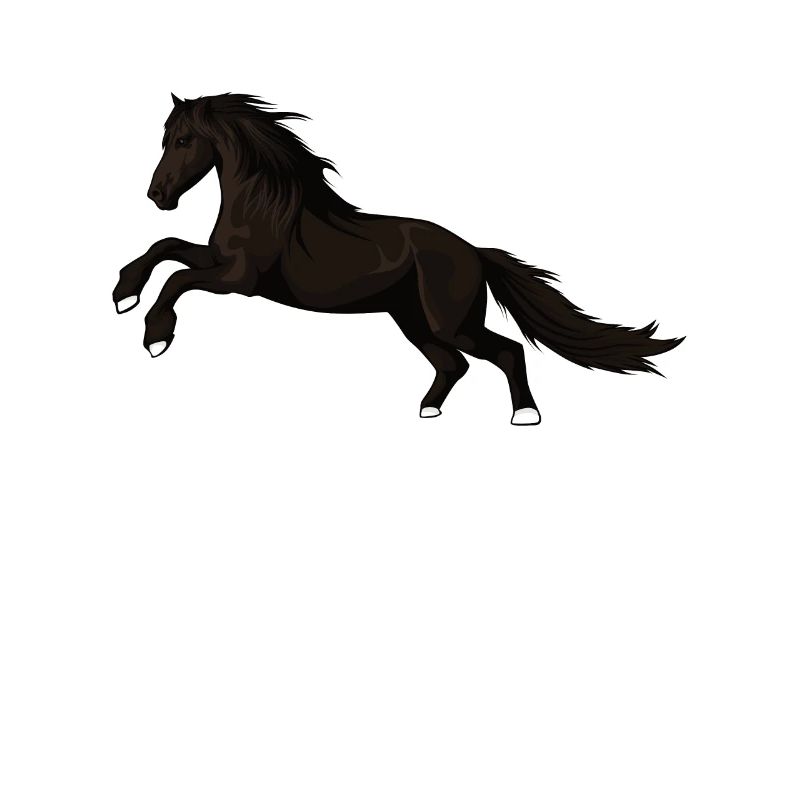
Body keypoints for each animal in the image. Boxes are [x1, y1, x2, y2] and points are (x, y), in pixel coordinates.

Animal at [112, 93, 683, 425]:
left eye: (183, 139)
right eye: (166, 138)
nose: (157, 196)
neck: (266, 207)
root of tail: (475, 253)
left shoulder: (237, 278)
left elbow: (179, 278)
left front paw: (155, 335)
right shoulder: (220, 259)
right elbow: (166, 250)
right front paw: (124, 294)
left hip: (449, 322)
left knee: (505, 351)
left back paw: (525, 415)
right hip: (411, 320)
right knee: (454, 365)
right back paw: (428, 410)